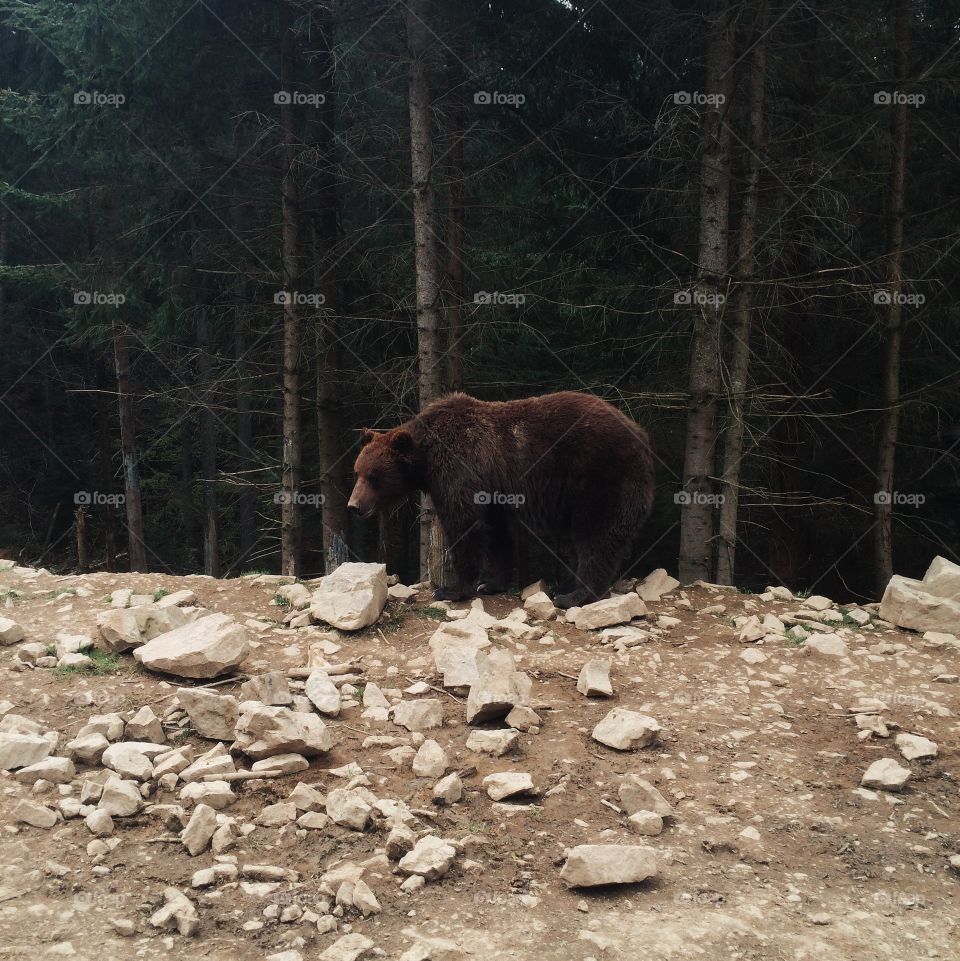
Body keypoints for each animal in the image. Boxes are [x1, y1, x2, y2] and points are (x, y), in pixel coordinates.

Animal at [348, 390, 656, 608]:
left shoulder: (460, 470)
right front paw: (491, 583)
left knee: (596, 535)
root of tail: (640, 434)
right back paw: (565, 587)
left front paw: (451, 589)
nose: (354, 506)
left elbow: (463, 525)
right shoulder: (494, 492)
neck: (427, 460)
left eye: (374, 476)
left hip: (600, 476)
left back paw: (574, 595)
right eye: (357, 471)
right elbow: (498, 534)